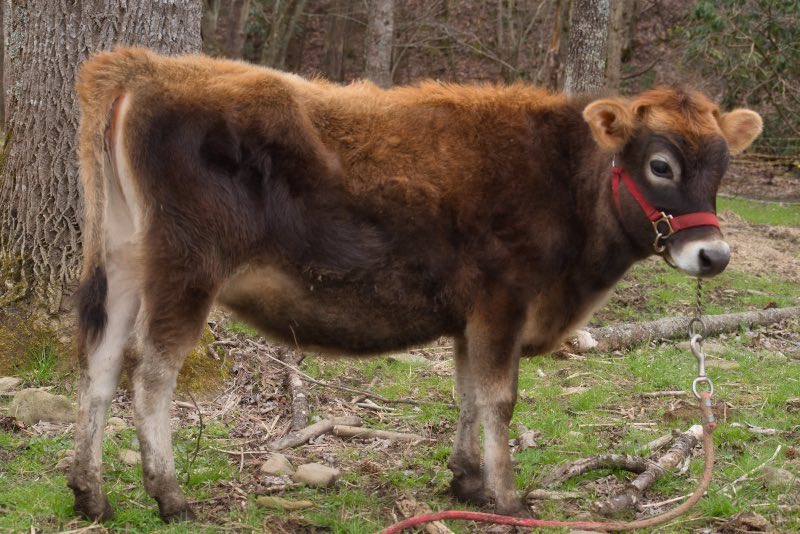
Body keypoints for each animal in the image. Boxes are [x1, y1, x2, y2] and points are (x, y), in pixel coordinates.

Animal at [68, 47, 762, 522]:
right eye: (660, 165)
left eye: (724, 167)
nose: (713, 254)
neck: (563, 177)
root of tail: (148, 69)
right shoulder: (504, 300)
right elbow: (499, 399)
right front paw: (508, 498)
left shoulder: (471, 316)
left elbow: (467, 396)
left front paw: (466, 484)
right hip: (186, 269)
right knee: (151, 374)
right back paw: (169, 496)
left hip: (126, 261)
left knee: (100, 365)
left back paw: (90, 493)